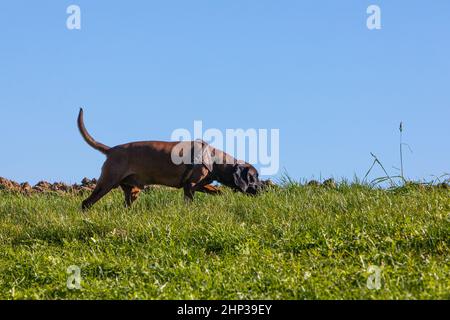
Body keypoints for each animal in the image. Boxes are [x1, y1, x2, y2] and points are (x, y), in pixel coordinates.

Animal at [76, 110, 260, 210]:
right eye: (253, 177)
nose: (263, 189)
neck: (214, 159)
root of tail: (111, 149)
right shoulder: (190, 186)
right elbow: (189, 202)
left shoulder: (199, 185)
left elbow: (217, 191)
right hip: (107, 182)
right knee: (86, 203)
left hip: (131, 189)